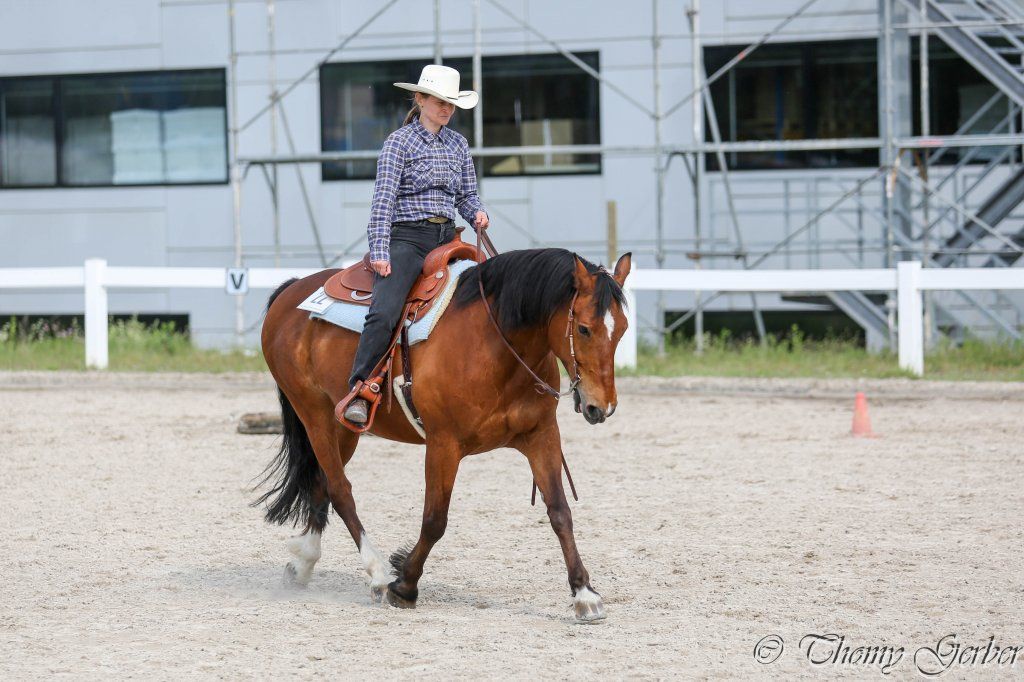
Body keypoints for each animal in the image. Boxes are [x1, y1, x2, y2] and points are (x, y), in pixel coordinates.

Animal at [256, 247, 632, 622]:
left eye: (623, 329)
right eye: (583, 329)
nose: (603, 406)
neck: (495, 345)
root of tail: (291, 290)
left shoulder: (541, 435)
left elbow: (559, 512)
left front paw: (584, 593)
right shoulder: (443, 444)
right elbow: (435, 519)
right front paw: (404, 584)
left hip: (344, 428)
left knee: (322, 483)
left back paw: (303, 563)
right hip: (314, 414)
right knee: (339, 489)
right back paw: (376, 574)